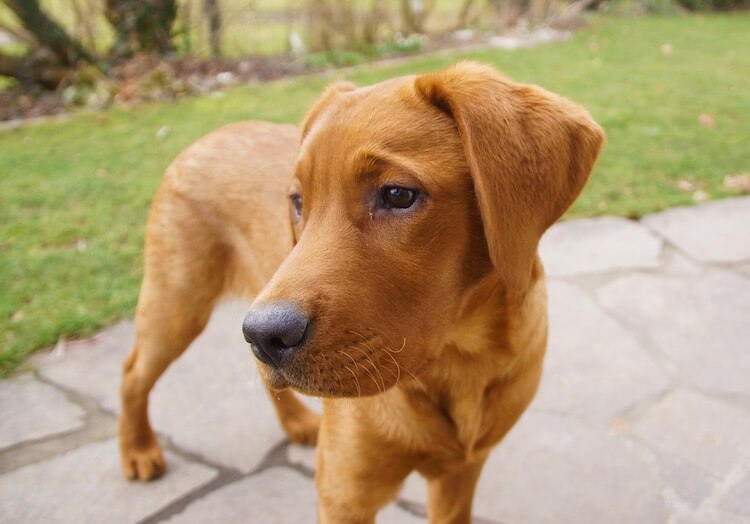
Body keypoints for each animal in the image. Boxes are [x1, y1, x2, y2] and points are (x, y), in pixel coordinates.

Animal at [122, 60, 604, 520]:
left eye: (397, 195)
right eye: (298, 202)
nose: (264, 334)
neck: (459, 359)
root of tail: (208, 135)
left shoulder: (459, 476)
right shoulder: (344, 491)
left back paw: (295, 421)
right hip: (179, 303)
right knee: (133, 372)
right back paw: (138, 452)